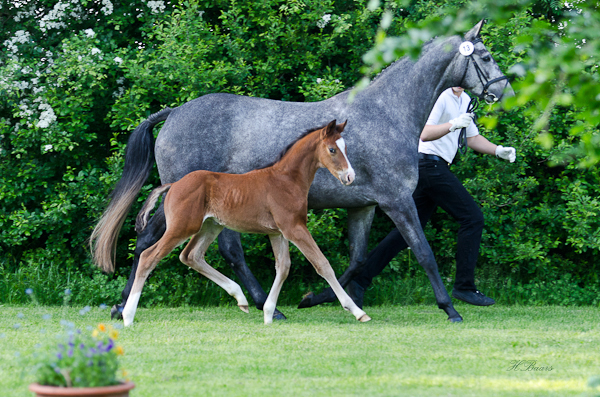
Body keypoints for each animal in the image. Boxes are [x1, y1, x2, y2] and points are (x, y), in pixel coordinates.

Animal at [122, 120, 370, 324]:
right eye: (332, 149)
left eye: (345, 148)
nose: (350, 176)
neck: (287, 180)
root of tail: (173, 184)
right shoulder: (294, 227)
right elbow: (322, 264)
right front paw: (357, 311)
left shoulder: (277, 232)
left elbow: (283, 267)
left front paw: (269, 314)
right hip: (182, 227)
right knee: (149, 256)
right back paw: (127, 315)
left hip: (211, 226)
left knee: (190, 255)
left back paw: (240, 297)